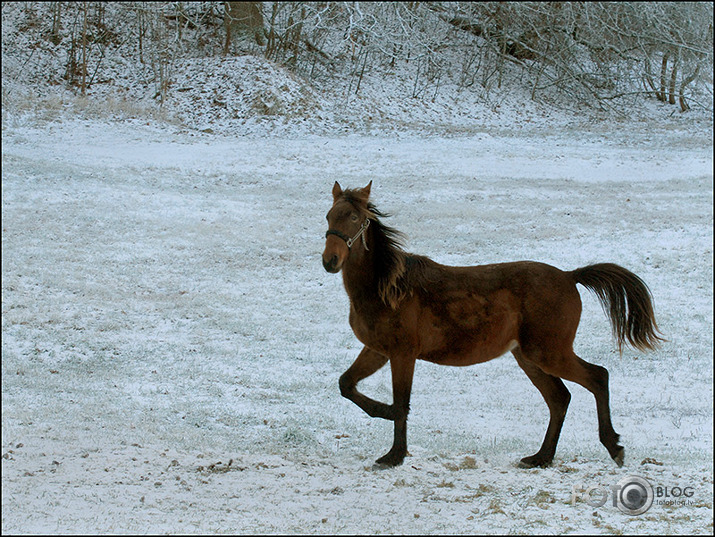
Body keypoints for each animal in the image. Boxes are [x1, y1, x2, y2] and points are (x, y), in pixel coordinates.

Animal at [322, 180, 664, 464]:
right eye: (328, 217)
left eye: (355, 218)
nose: (330, 261)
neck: (388, 288)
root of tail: (570, 276)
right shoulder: (378, 350)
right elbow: (346, 384)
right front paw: (385, 417)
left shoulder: (403, 353)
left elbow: (401, 401)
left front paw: (394, 454)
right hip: (528, 357)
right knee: (559, 398)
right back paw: (541, 457)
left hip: (549, 352)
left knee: (597, 377)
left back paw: (613, 446)